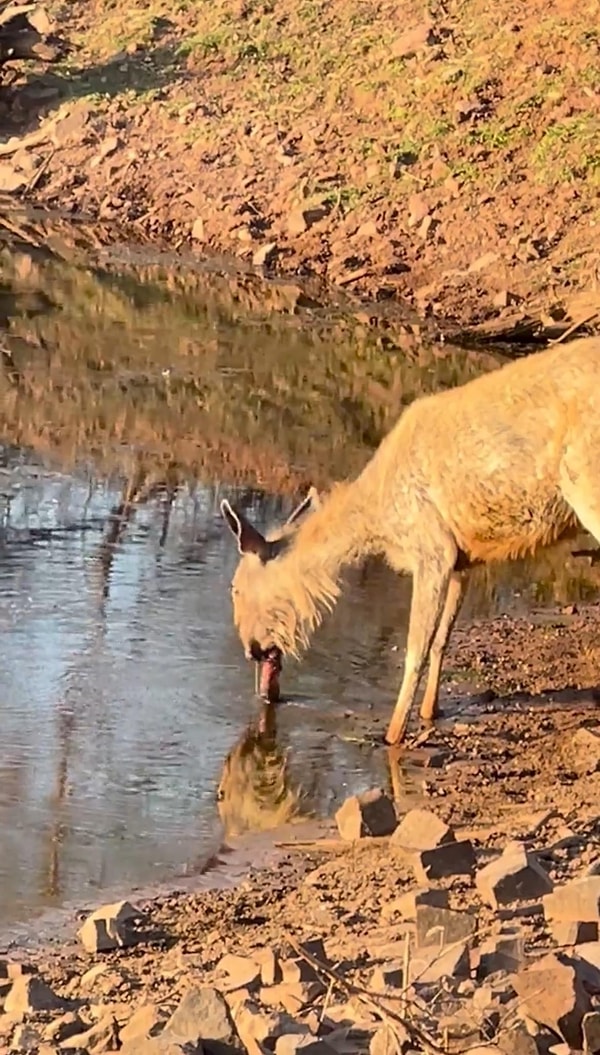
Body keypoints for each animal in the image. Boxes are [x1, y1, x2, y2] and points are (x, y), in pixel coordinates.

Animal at [220, 335, 598, 742]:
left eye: (235, 588)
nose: (251, 650)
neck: (377, 521)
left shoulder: (432, 547)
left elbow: (415, 649)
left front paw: (393, 734)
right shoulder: (463, 557)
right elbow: (442, 640)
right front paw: (431, 711)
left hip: (585, 482)